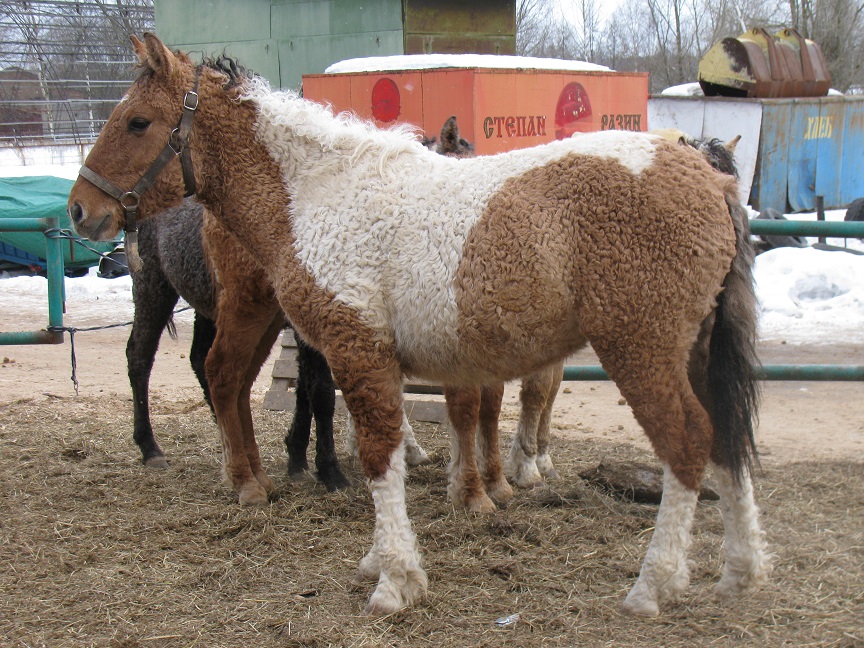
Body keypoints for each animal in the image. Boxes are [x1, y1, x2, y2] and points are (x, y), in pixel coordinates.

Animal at [67, 35, 768, 616]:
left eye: (137, 121)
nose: (80, 208)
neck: (319, 193)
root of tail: (709, 180)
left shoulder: (359, 351)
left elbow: (380, 454)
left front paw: (396, 581)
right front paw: (384, 555)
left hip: (640, 349)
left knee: (689, 442)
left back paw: (653, 586)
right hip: (695, 350)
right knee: (726, 434)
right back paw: (739, 573)